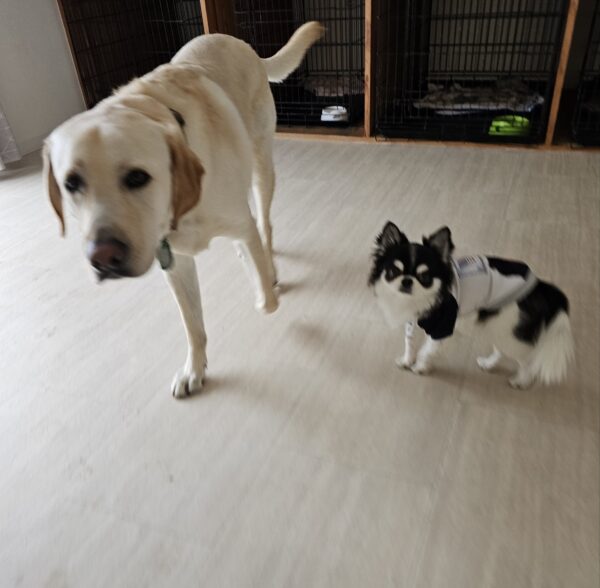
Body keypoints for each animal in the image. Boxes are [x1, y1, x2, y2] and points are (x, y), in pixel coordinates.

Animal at [42, 22, 325, 398]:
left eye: (137, 177)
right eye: (71, 183)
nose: (103, 257)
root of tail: (241, 43)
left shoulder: (238, 221)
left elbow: (265, 298)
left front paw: (261, 286)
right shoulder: (175, 262)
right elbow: (193, 325)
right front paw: (194, 369)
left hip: (261, 165)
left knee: (263, 224)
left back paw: (267, 263)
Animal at [369, 222, 574, 388]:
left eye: (425, 277)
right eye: (394, 271)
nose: (407, 281)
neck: (415, 301)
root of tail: (541, 285)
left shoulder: (443, 327)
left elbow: (428, 350)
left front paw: (421, 366)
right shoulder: (412, 322)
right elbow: (409, 343)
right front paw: (407, 360)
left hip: (511, 333)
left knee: (527, 360)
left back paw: (521, 381)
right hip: (501, 329)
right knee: (501, 350)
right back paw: (488, 364)